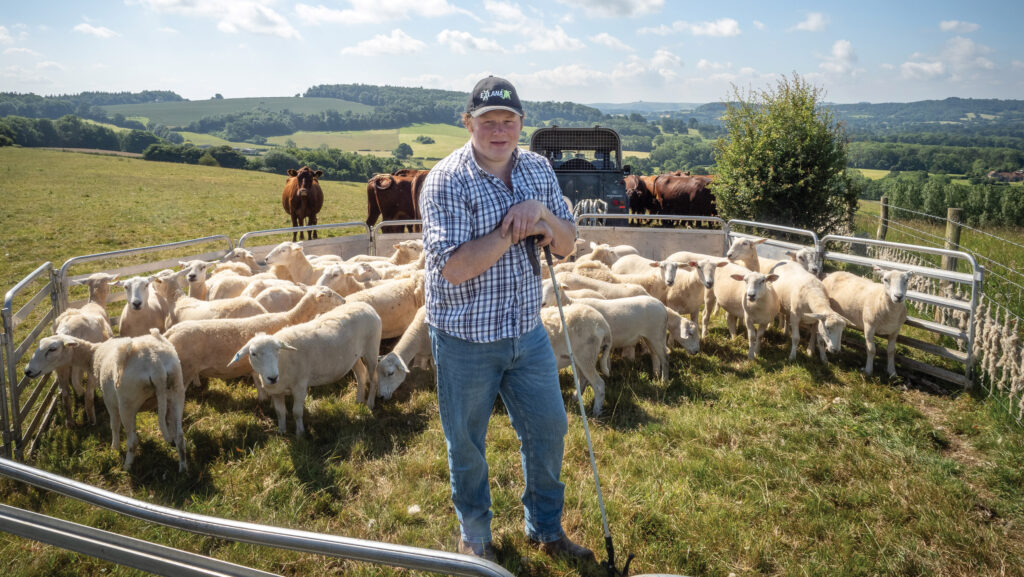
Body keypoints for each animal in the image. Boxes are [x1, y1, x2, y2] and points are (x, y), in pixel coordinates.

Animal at [23, 330, 186, 473]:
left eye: (52, 349)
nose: (28, 371)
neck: (93, 355)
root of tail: (156, 364)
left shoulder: (110, 400)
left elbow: (114, 425)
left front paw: (115, 447)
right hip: (177, 390)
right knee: (179, 436)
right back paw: (183, 470)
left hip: (127, 402)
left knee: (133, 441)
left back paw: (127, 467)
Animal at [232, 303, 385, 434]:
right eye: (253, 354)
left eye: (277, 351)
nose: (272, 377)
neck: (282, 363)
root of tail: (367, 306)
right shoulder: (277, 392)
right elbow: (279, 412)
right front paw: (281, 431)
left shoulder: (300, 386)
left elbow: (297, 412)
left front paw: (300, 433)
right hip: (354, 356)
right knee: (361, 374)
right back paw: (359, 400)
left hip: (371, 349)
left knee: (374, 378)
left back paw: (370, 403)